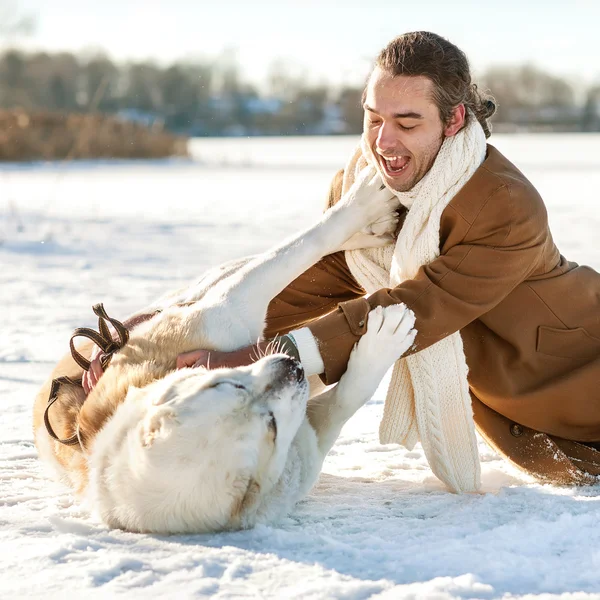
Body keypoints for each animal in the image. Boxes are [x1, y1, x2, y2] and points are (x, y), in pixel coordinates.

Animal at [34, 166, 418, 532]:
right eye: (270, 426)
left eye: (224, 383)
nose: (290, 366)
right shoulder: (304, 437)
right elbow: (349, 394)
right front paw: (386, 335)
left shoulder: (222, 310)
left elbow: (307, 241)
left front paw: (364, 205)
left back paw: (371, 226)